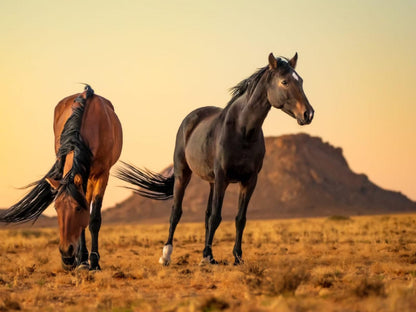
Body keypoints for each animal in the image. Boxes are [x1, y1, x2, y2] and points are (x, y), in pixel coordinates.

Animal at [0, 85, 122, 270]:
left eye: (77, 209)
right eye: (56, 208)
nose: (66, 253)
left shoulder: (102, 174)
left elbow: (94, 219)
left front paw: (94, 262)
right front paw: (82, 260)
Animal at [116, 53, 312, 266]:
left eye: (301, 80)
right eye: (284, 81)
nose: (308, 113)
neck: (243, 131)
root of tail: (191, 117)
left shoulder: (249, 180)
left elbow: (239, 219)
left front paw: (236, 257)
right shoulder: (222, 177)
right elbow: (216, 217)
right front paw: (207, 256)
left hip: (211, 182)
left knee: (206, 215)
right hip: (184, 174)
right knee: (176, 212)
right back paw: (167, 255)